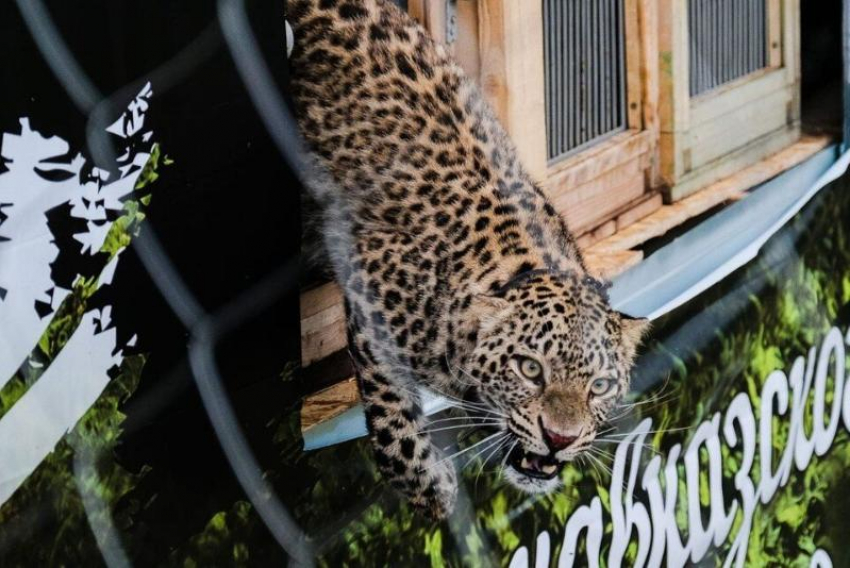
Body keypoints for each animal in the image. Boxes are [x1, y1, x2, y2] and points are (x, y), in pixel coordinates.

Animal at [288, 0, 644, 520]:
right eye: (530, 369)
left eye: (598, 386)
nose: (560, 439)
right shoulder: (369, 302)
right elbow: (390, 409)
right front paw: (431, 489)